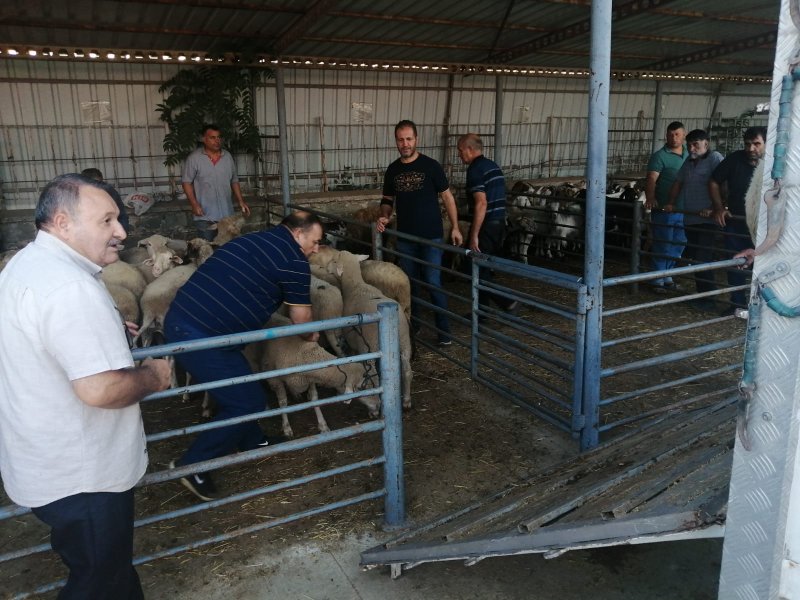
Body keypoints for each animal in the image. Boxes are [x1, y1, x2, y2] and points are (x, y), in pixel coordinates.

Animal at [322, 249, 413, 409]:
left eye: (333, 261)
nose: (326, 268)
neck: (355, 285)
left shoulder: (355, 342)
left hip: (369, 347)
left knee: (375, 377)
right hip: (404, 342)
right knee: (407, 371)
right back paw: (407, 400)